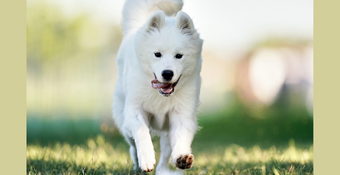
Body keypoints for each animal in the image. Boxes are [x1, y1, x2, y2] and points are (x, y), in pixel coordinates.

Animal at [112, 0, 202, 174]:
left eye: (179, 56)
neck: (161, 94)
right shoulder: (134, 112)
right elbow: (141, 131)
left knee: (165, 157)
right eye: (157, 54)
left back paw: (166, 169)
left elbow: (181, 139)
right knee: (132, 145)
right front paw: (146, 159)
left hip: (167, 131)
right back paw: (138, 165)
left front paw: (182, 157)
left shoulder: (181, 116)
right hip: (123, 121)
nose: (167, 73)